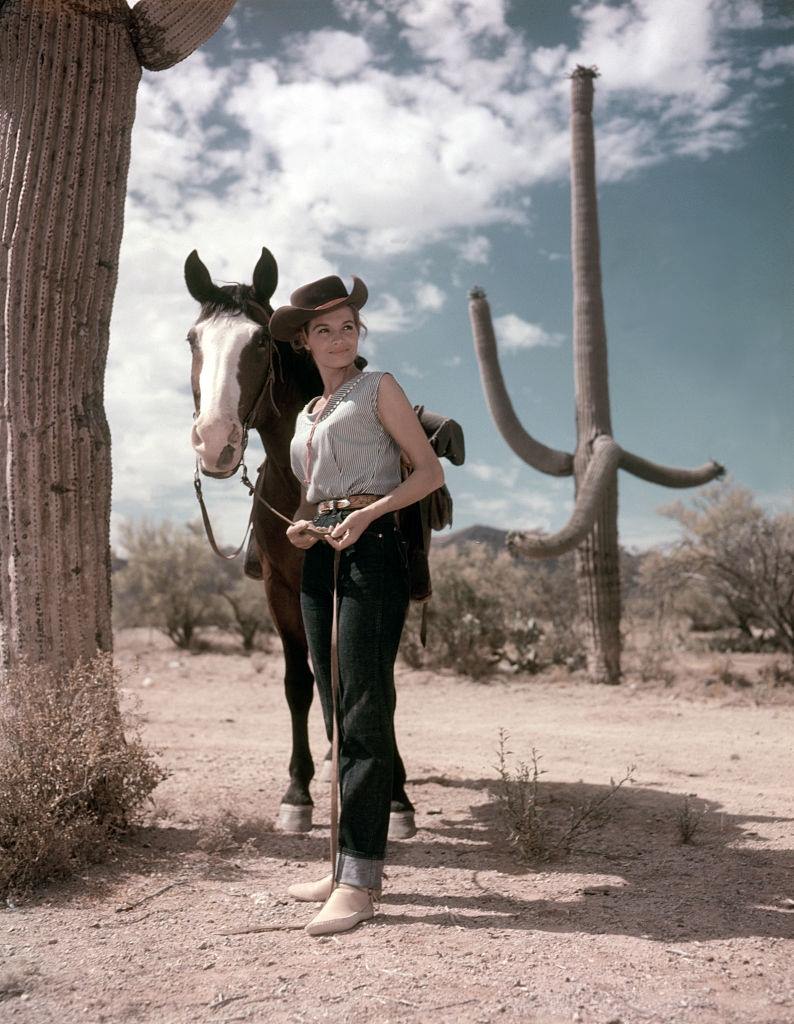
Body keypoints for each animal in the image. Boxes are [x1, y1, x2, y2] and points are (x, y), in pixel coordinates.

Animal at [181, 247, 415, 839]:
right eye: (193, 339)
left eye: (262, 341)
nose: (214, 443)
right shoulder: (282, 591)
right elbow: (297, 682)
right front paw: (297, 794)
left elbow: (381, 684)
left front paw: (397, 797)